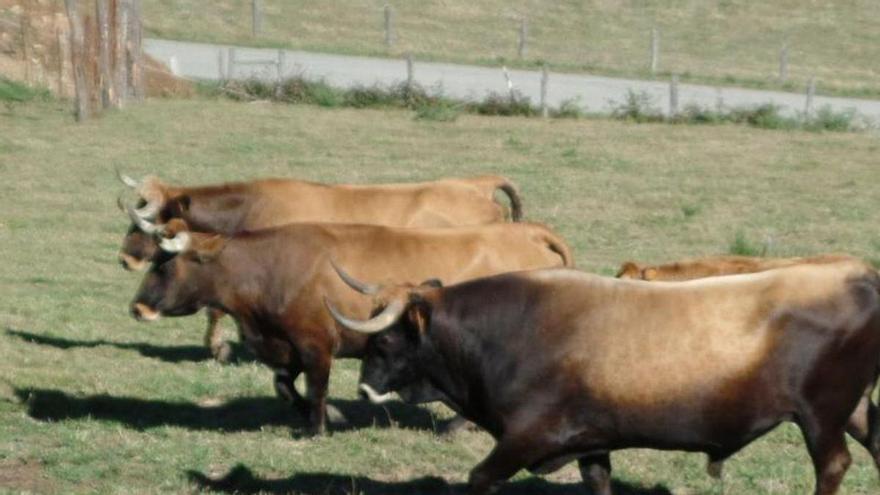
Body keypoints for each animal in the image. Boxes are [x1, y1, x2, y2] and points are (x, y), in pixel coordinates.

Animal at [117, 173, 524, 360]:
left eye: (150, 223)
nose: (125, 258)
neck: (253, 207)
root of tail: (475, 184)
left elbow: (215, 309)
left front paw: (219, 348)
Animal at [127, 217, 576, 434]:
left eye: (164, 263)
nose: (137, 307)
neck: (270, 266)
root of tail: (527, 232)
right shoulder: (286, 346)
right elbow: (284, 385)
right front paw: (331, 415)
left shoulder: (316, 344)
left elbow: (316, 387)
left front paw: (319, 427)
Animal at [328, 262, 880, 494]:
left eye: (384, 341)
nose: (363, 388)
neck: (511, 330)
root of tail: (854, 274)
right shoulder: (591, 442)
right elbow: (597, 481)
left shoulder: (528, 436)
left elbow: (480, 477)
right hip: (852, 409)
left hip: (821, 414)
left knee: (833, 466)